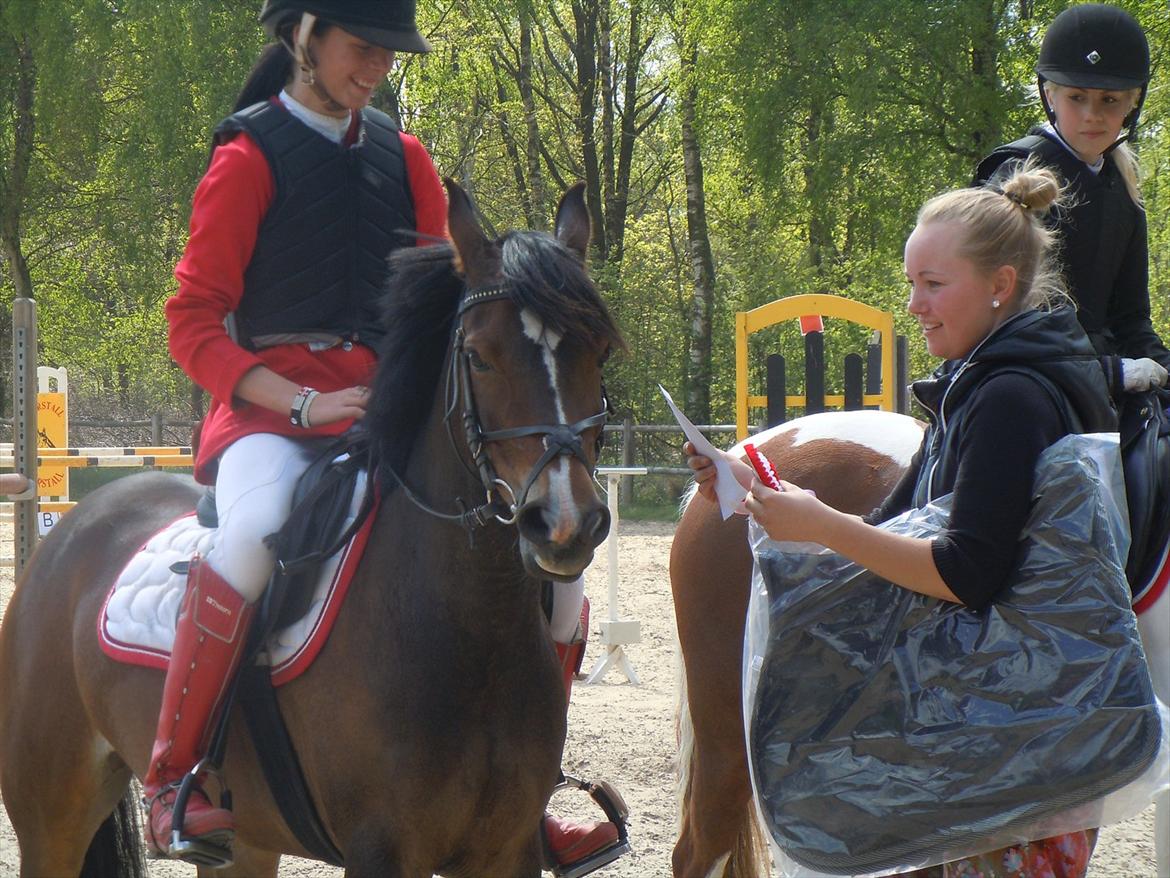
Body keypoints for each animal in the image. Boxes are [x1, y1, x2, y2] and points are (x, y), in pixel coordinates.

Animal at [0, 180, 624, 878]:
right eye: (479, 358)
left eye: (598, 350)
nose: (564, 521)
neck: (465, 623)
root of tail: (72, 530)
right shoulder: (381, 849)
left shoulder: (506, 851)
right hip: (52, 818)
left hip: (245, 840)